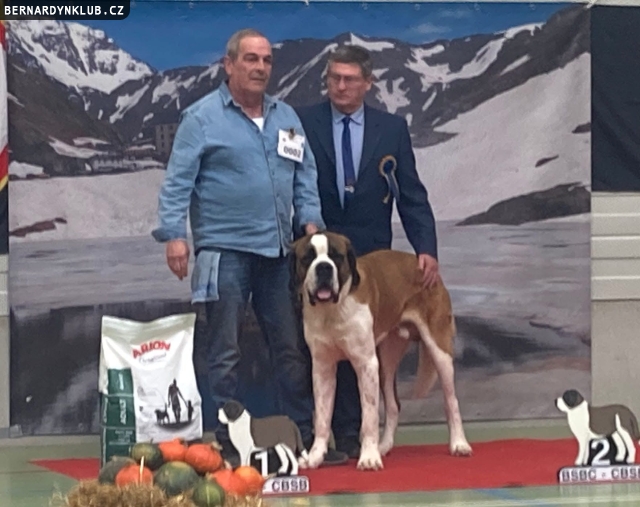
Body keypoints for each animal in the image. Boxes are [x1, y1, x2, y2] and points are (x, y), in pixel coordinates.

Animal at [290, 231, 472, 471]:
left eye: (336, 256)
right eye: (308, 258)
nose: (324, 268)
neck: (333, 309)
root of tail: (423, 266)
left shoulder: (366, 364)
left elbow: (369, 415)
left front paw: (368, 457)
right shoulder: (322, 368)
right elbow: (322, 417)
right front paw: (315, 456)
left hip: (439, 349)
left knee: (451, 400)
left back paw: (459, 443)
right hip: (386, 361)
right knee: (394, 405)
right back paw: (384, 446)